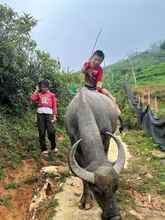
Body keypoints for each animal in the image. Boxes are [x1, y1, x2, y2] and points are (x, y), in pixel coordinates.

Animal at [64, 87, 125, 220]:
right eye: (97, 191)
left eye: (116, 187)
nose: (114, 217)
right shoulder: (74, 145)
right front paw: (85, 200)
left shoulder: (106, 138)